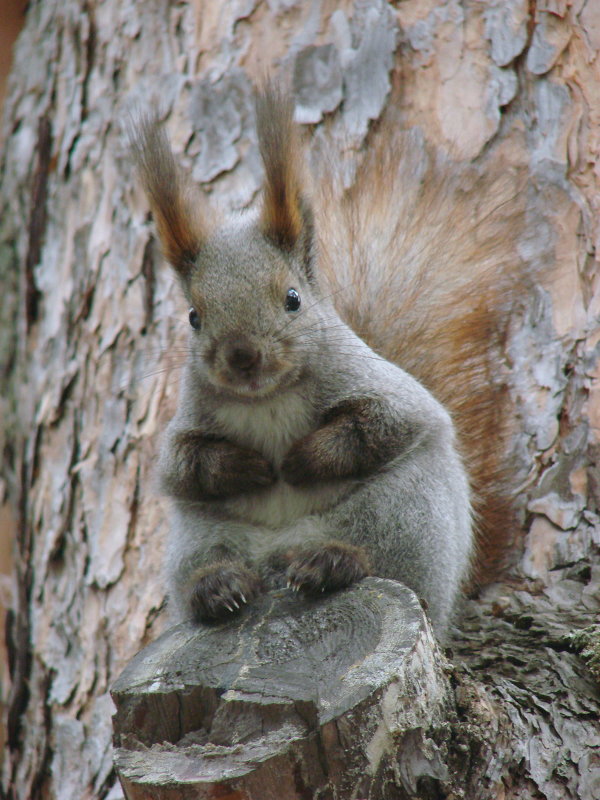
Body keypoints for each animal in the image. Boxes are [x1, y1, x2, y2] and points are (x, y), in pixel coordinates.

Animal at [129, 83, 524, 636]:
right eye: (193, 317)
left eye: (292, 298)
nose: (242, 356)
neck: (269, 398)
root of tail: (282, 554)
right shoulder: (187, 425)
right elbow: (184, 466)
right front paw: (247, 467)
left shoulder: (388, 393)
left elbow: (376, 428)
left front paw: (298, 460)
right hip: (200, 534)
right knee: (208, 565)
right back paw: (219, 588)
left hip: (407, 511)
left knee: (383, 559)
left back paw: (331, 563)